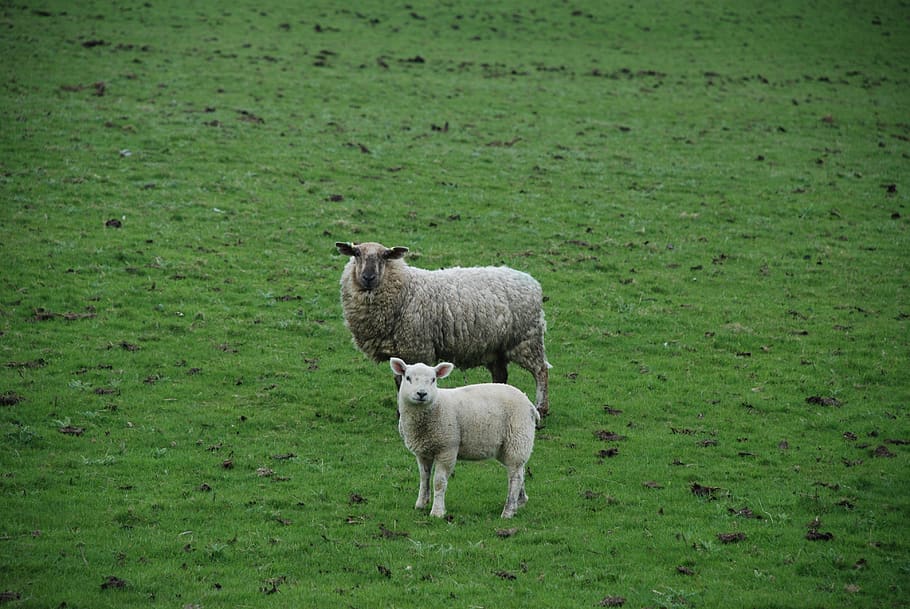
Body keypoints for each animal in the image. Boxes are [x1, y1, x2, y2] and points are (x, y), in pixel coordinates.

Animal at [336, 241, 551, 416]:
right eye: (356, 253)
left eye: (385, 256)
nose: (368, 277)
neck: (405, 289)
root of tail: (531, 281)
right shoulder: (397, 350)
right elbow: (400, 381)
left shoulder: (417, 348)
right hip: (496, 347)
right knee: (501, 375)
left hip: (526, 339)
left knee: (541, 370)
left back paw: (541, 408)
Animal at [390, 357, 539, 518]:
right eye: (408, 378)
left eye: (433, 379)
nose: (422, 394)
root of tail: (529, 404)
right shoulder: (422, 451)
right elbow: (424, 478)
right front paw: (421, 504)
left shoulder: (447, 449)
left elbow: (439, 482)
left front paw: (437, 512)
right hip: (508, 446)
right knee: (520, 471)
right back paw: (520, 502)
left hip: (517, 439)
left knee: (515, 477)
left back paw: (508, 511)